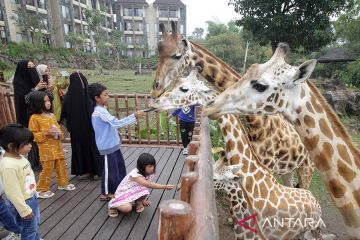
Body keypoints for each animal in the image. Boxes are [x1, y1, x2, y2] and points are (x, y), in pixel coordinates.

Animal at [149, 21, 312, 188]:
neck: (258, 123)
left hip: (305, 168)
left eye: (177, 55)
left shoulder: (268, 165)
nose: (155, 91)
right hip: (288, 170)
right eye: (159, 54)